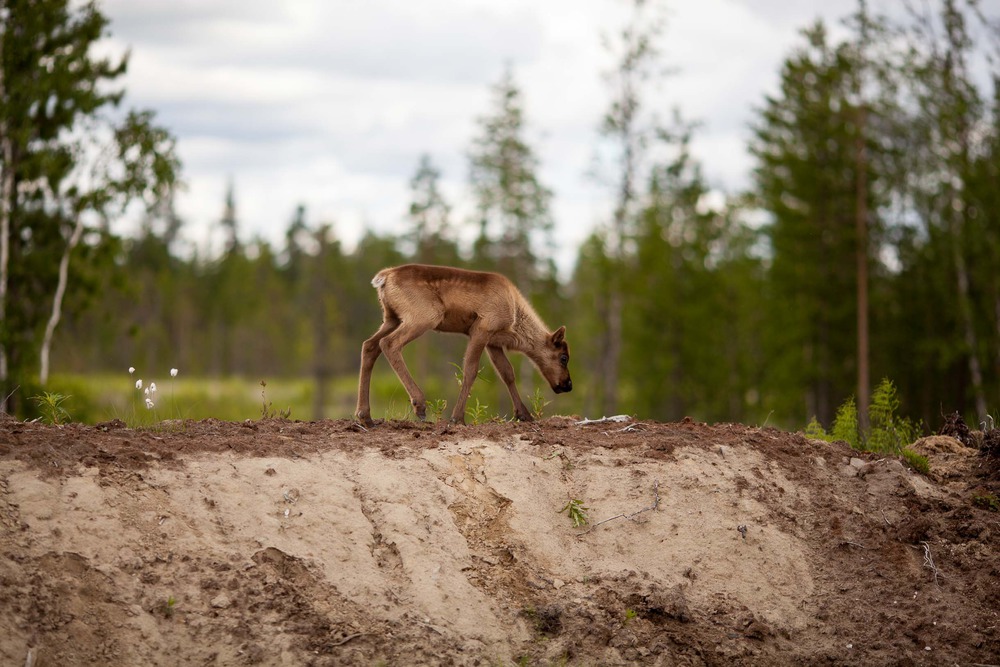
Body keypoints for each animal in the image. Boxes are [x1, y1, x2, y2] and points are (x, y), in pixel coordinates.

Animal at [354, 264, 572, 426]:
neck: (515, 322)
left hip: (391, 318)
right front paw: (457, 417)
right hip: (425, 316)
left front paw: (524, 415)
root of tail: (384, 278)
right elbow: (471, 369)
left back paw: (365, 416)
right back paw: (419, 404)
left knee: (369, 345)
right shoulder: (482, 328)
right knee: (388, 343)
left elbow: (507, 373)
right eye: (563, 357)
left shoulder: (493, 341)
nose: (568, 384)